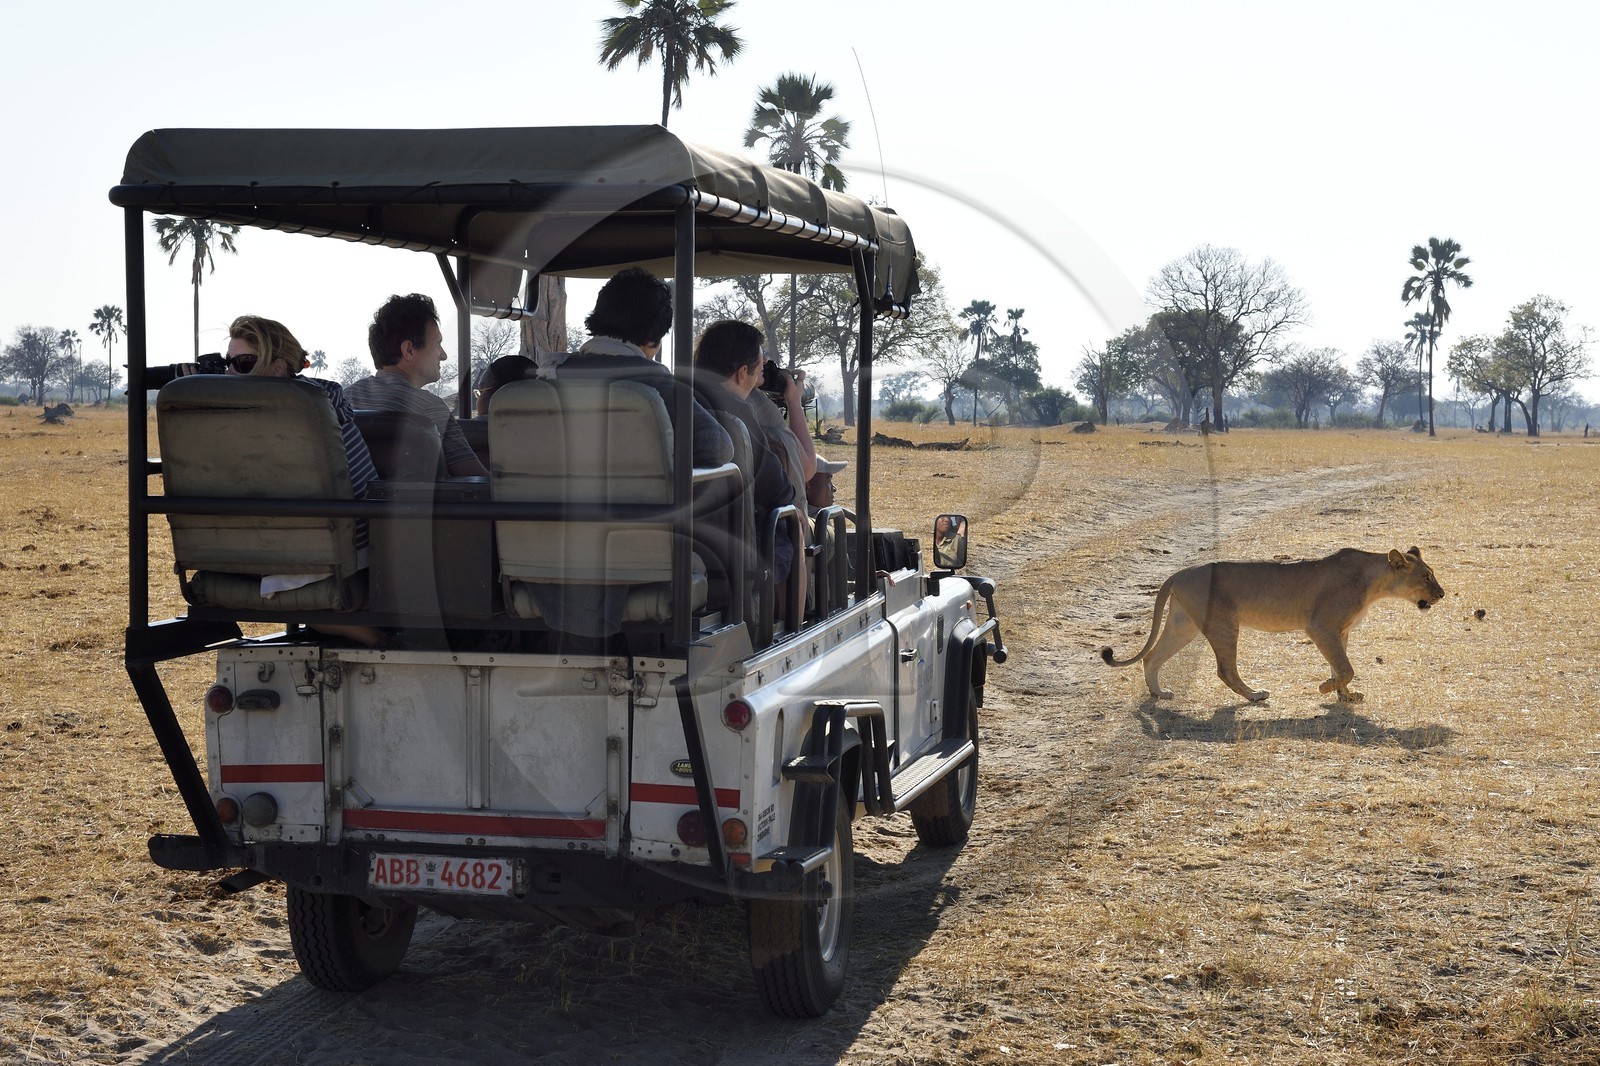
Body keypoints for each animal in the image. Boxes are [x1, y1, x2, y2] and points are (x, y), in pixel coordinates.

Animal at [1100, 547, 1445, 703]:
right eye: (1426, 576)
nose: (1442, 594)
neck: (1375, 583)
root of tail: (1179, 573)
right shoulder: (1321, 627)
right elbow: (1345, 668)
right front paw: (1325, 688)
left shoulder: (1340, 631)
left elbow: (1340, 667)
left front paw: (1344, 696)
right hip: (1224, 624)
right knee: (1225, 670)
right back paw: (1255, 695)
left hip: (1183, 624)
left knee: (1151, 656)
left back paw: (1159, 693)